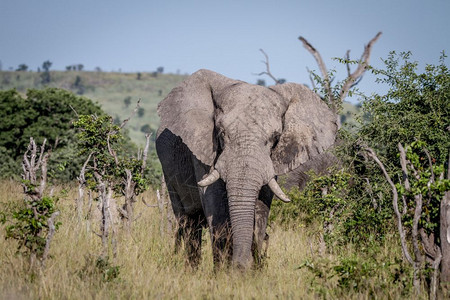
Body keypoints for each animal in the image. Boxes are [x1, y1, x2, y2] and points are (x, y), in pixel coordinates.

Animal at [156, 69, 336, 270]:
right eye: (221, 133)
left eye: (275, 138)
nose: (241, 266)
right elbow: (216, 204)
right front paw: (225, 273)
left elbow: (261, 207)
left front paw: (251, 269)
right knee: (188, 221)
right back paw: (191, 270)